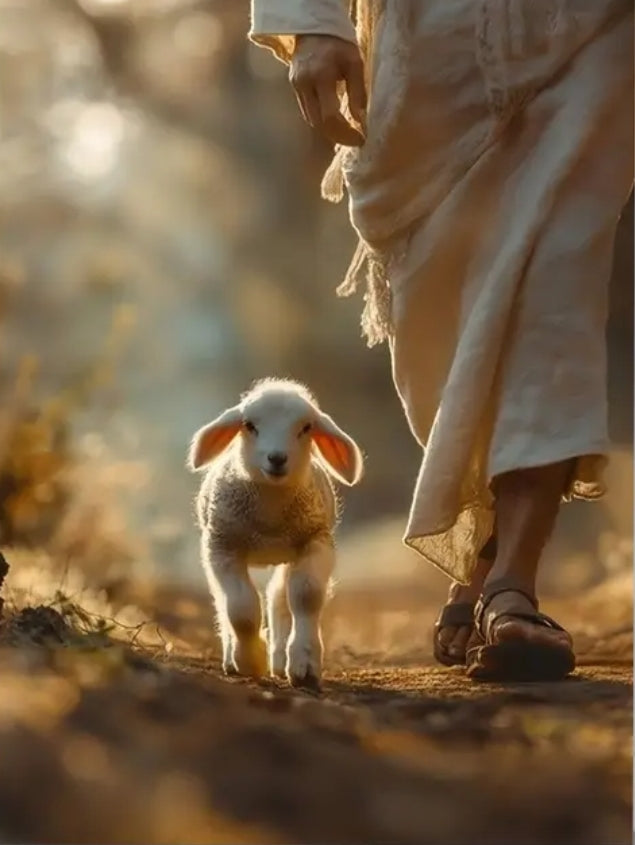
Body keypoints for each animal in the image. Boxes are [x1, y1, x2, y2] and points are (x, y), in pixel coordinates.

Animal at [187, 378, 364, 689]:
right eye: (249, 425)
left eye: (306, 427)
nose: (277, 458)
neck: (270, 516)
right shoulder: (222, 545)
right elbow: (241, 608)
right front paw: (249, 660)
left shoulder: (315, 541)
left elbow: (306, 595)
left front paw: (304, 665)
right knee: (224, 602)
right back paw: (231, 658)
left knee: (279, 596)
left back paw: (281, 660)